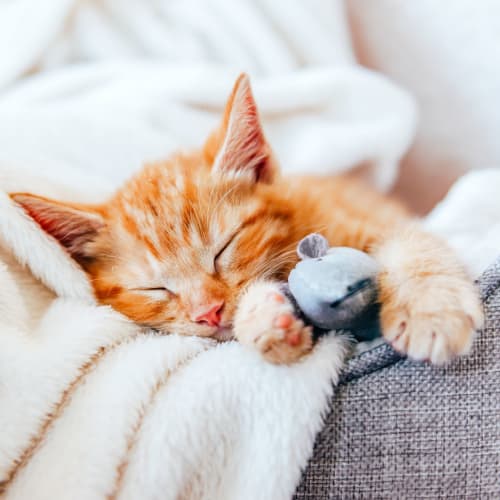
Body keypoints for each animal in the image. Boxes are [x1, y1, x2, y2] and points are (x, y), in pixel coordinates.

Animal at [9, 73, 482, 364]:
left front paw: (431, 311)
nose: (208, 313)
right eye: (154, 288)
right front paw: (267, 321)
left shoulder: (380, 221)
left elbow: (413, 247)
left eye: (223, 249)